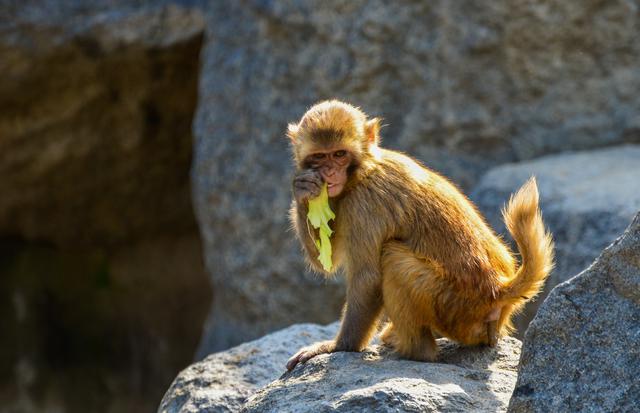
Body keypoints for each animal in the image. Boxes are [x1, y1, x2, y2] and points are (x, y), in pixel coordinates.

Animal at [284, 100, 556, 370]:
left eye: (339, 155)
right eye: (319, 157)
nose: (330, 173)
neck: (362, 170)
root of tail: (499, 289)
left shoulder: (364, 205)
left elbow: (367, 279)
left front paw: (337, 346)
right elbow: (328, 259)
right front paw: (303, 190)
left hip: (453, 305)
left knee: (392, 258)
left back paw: (416, 351)